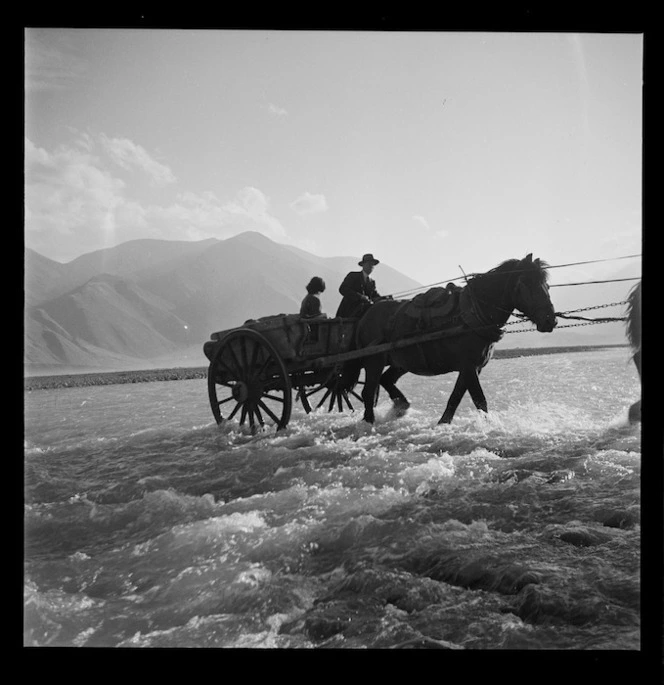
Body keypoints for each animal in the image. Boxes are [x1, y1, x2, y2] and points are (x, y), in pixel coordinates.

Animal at [344, 252, 556, 422]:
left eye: (546, 284)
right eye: (526, 283)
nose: (550, 320)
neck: (474, 312)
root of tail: (366, 314)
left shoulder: (472, 367)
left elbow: (455, 398)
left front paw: (443, 423)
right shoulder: (469, 366)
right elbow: (479, 400)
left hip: (400, 361)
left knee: (385, 380)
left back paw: (401, 406)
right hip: (374, 360)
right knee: (368, 392)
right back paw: (369, 423)